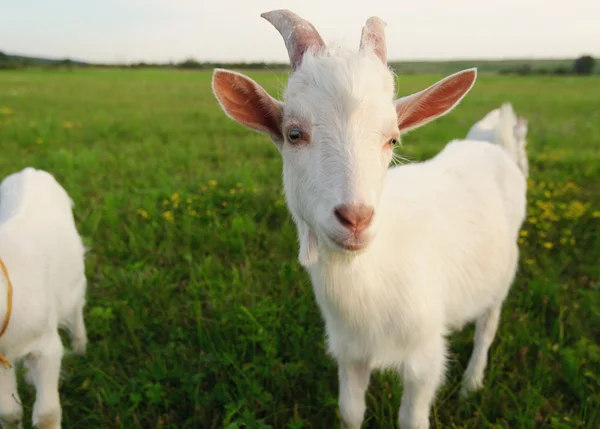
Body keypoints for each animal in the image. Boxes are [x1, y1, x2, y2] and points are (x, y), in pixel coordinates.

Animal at [0, 166, 87, 428]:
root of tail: (29, 171)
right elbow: (9, 412)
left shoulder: (47, 346)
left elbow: (47, 413)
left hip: (74, 277)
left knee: (77, 306)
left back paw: (80, 346)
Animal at [210, 10, 524, 428]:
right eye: (294, 134)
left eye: (392, 139)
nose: (355, 218)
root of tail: (494, 146)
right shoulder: (349, 351)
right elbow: (350, 410)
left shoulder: (424, 358)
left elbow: (411, 418)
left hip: (502, 275)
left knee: (486, 329)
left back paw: (472, 385)